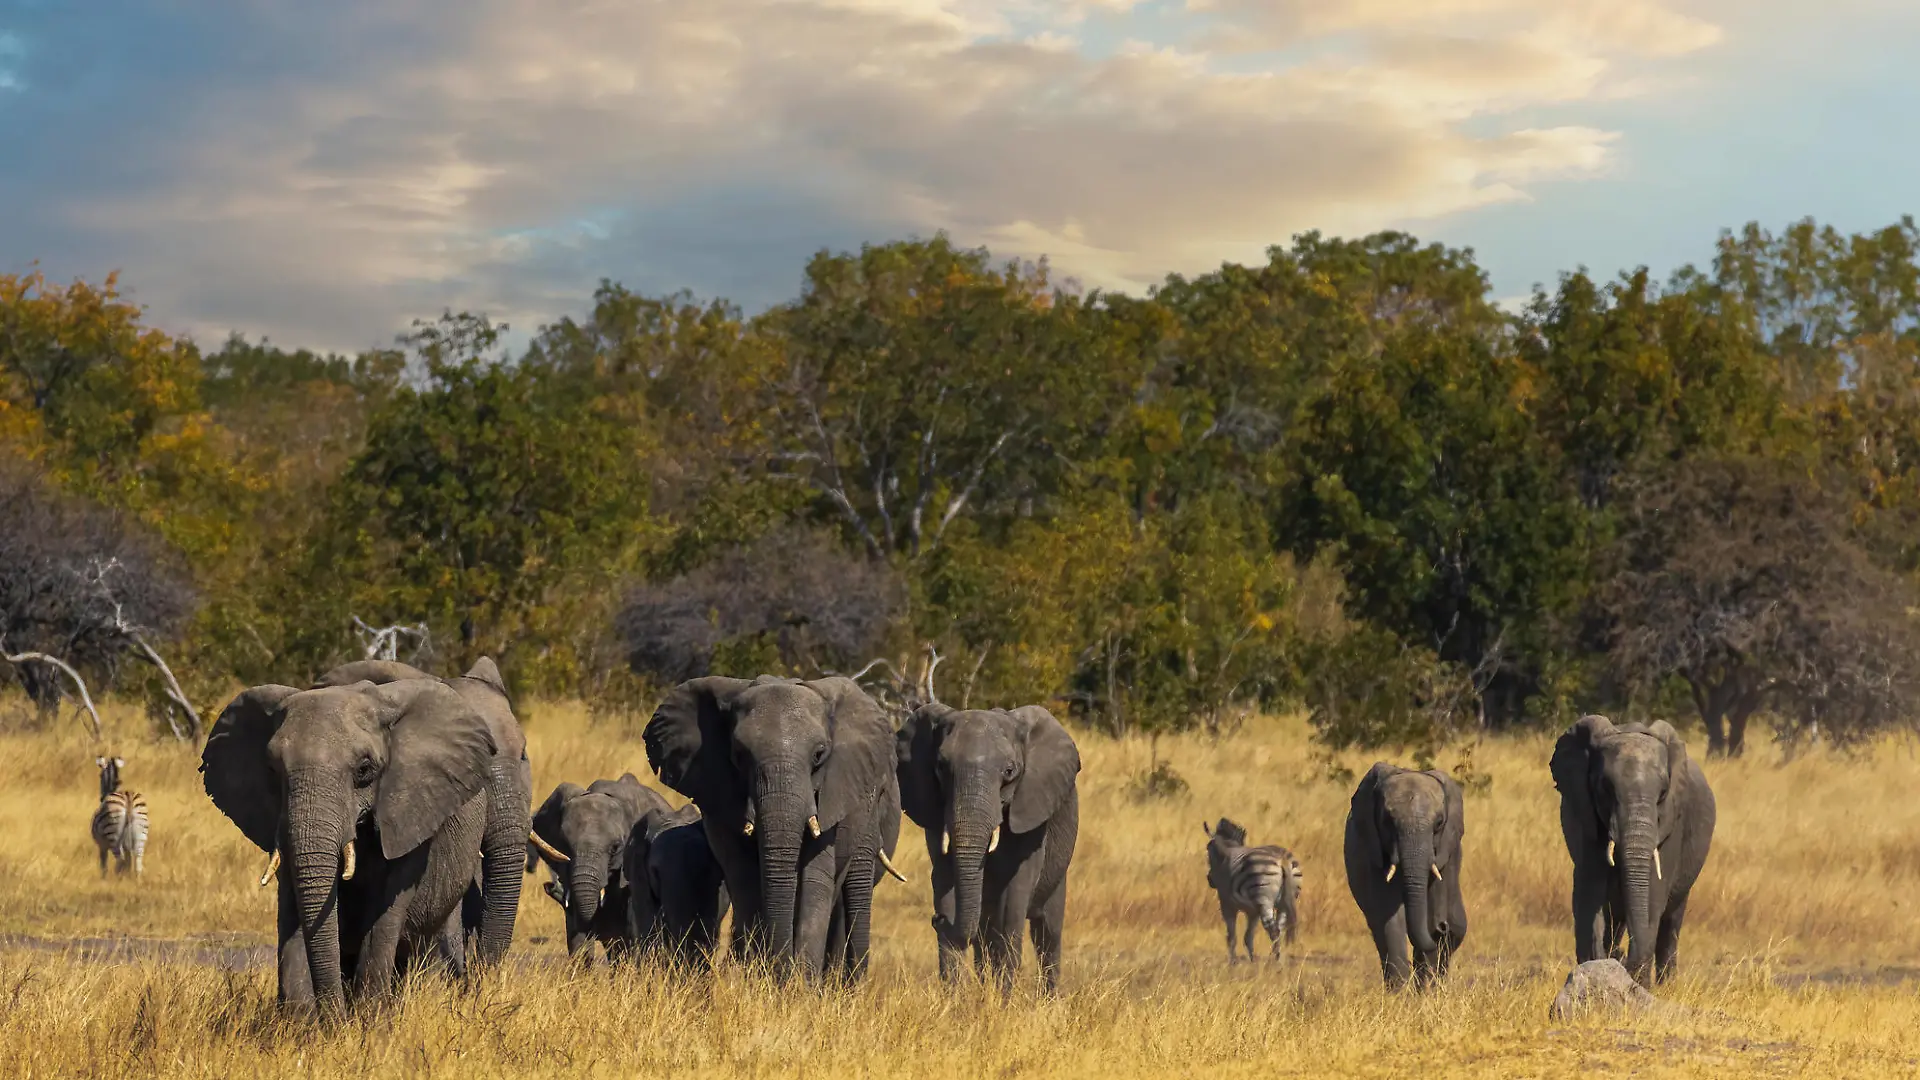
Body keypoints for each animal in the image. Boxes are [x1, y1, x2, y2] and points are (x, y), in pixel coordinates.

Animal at [201, 677, 497, 1013]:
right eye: (273, 770)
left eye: (364, 770)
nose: (336, 1015)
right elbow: (292, 904)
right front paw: (299, 1021)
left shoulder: (408, 811)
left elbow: (385, 910)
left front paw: (369, 1019)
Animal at [642, 675, 901, 983]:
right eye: (739, 755)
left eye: (819, 755)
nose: (781, 970)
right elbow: (744, 877)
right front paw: (757, 978)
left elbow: (815, 876)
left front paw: (798, 985)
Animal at [896, 703, 1080, 993]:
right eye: (941, 766)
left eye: (1009, 771)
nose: (936, 919)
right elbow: (946, 882)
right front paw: (955, 1000)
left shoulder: (1030, 812)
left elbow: (1013, 901)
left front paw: (1002, 1002)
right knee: (985, 937)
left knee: (1047, 932)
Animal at [1343, 762, 1469, 990]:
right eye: (1387, 822)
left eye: (1439, 823)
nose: (1442, 927)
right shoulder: (1373, 852)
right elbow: (1388, 918)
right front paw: (1399, 993)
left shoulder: (1445, 855)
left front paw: (1427, 992)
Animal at [1550, 715, 1716, 988]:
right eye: (1605, 788)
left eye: (1663, 793)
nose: (1623, 958)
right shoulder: (1584, 814)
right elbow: (1589, 891)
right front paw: (1599, 967)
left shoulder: (1672, 822)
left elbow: (1654, 895)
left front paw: (1638, 983)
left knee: (1670, 921)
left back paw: (1666, 985)